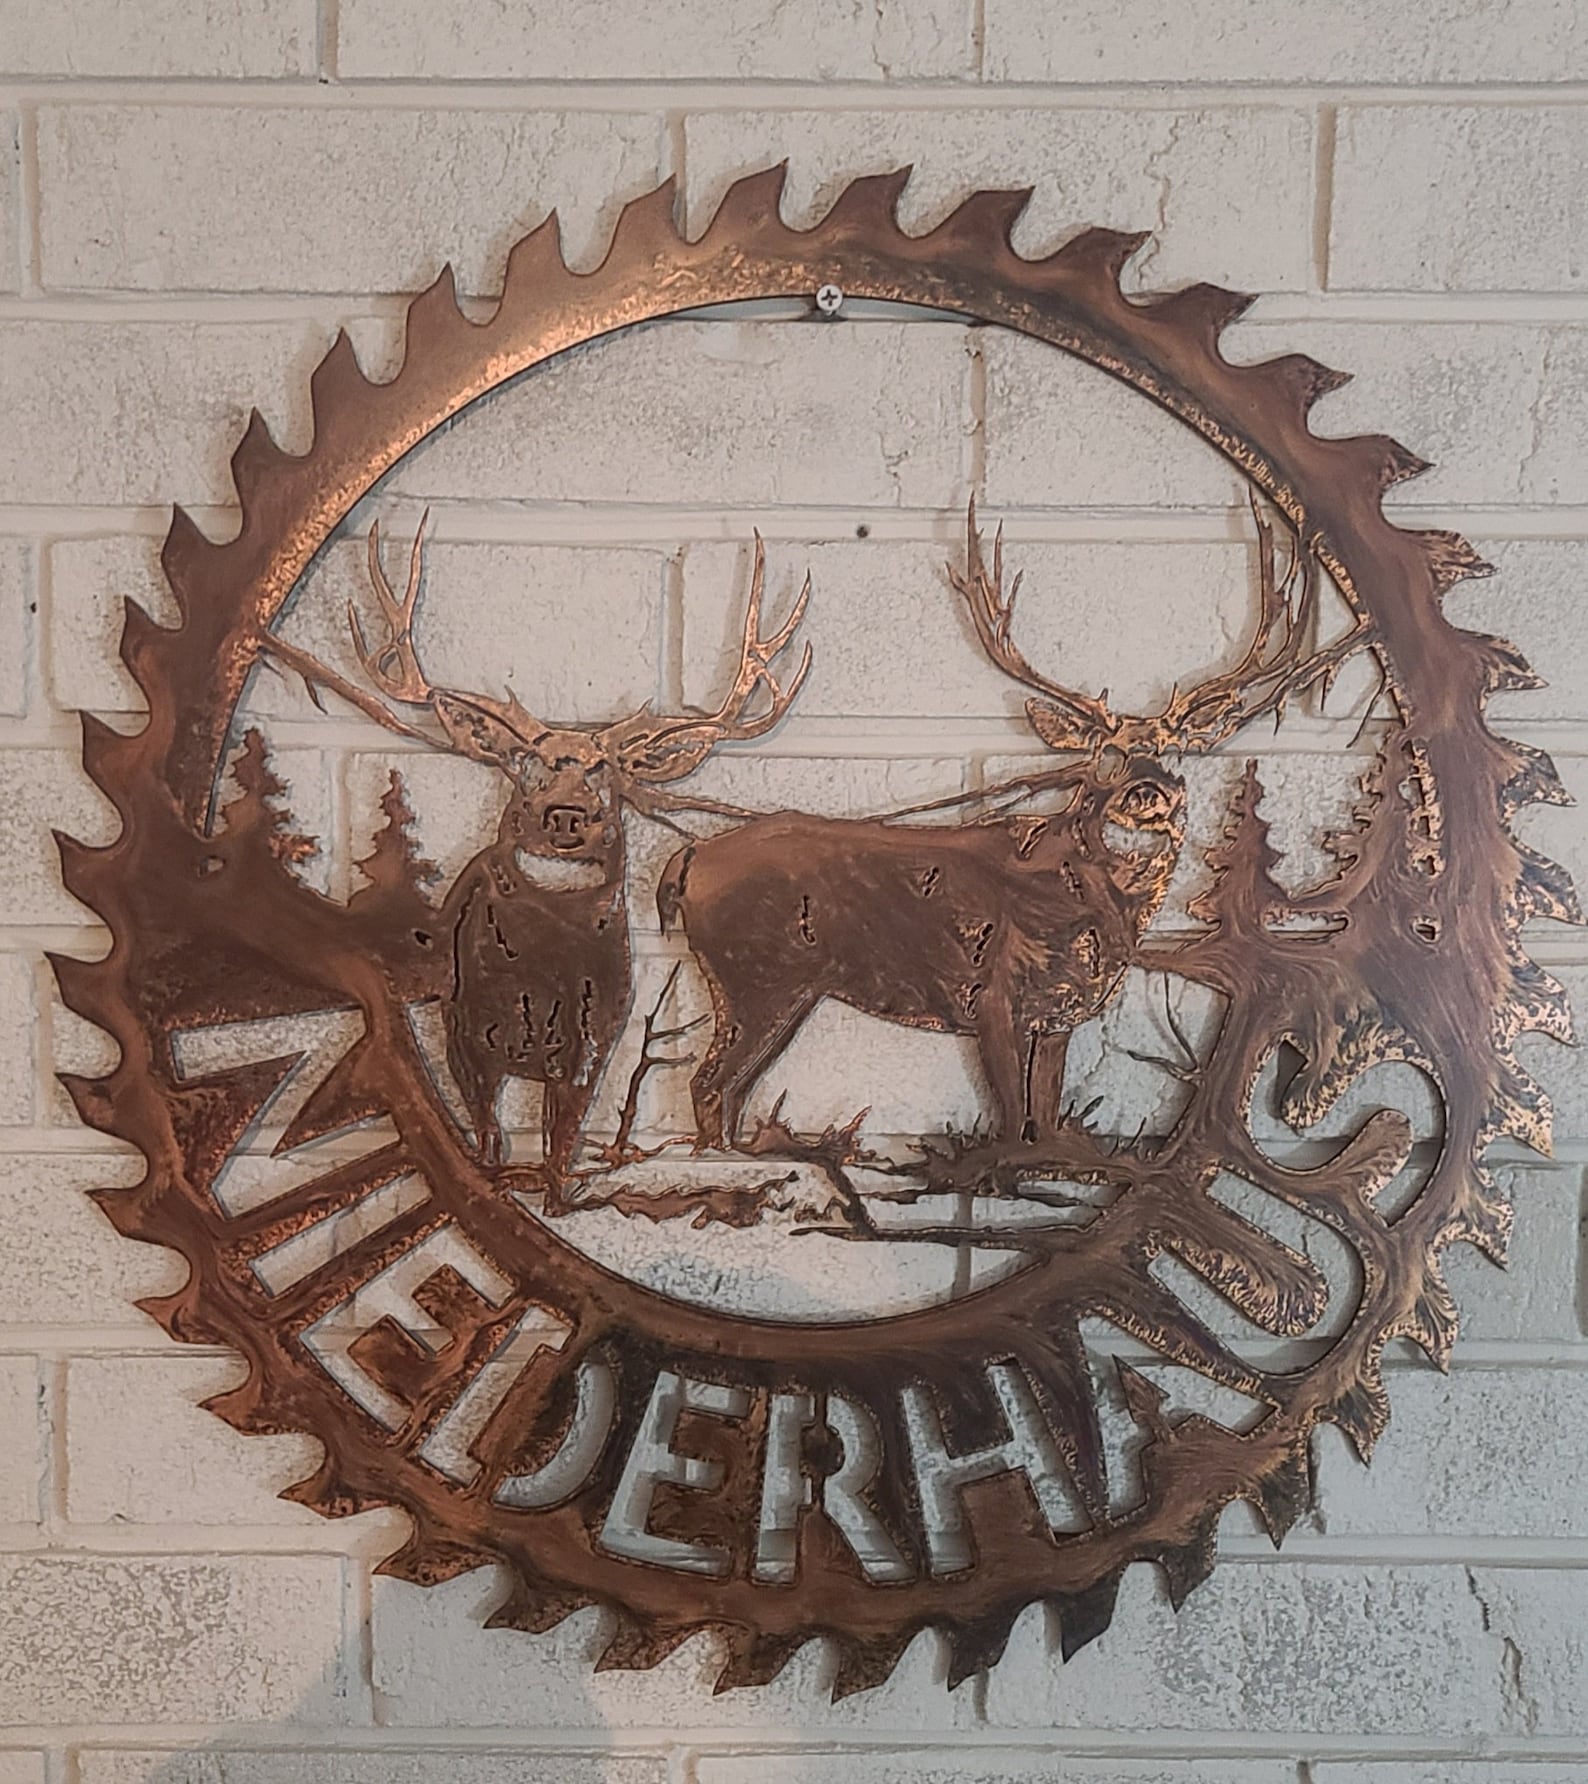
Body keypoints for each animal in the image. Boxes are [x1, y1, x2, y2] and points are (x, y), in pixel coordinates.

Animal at [264, 515, 812, 1195]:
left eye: (604, 771)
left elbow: (561, 1148)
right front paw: (494, 1179)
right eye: (525, 762)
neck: (544, 961)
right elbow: (489, 1139)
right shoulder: (464, 1038)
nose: (566, 815)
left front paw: (555, 1190)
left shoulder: (594, 1044)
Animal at [659, 499, 1361, 1154]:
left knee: (729, 1086)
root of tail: (689, 860)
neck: (1095, 913)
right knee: (708, 1083)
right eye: (1104, 756)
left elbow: (1043, 1116)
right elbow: (1011, 1123)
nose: (1148, 789)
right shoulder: (993, 997)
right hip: (756, 977)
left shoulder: (1062, 1016)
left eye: (1177, 751)